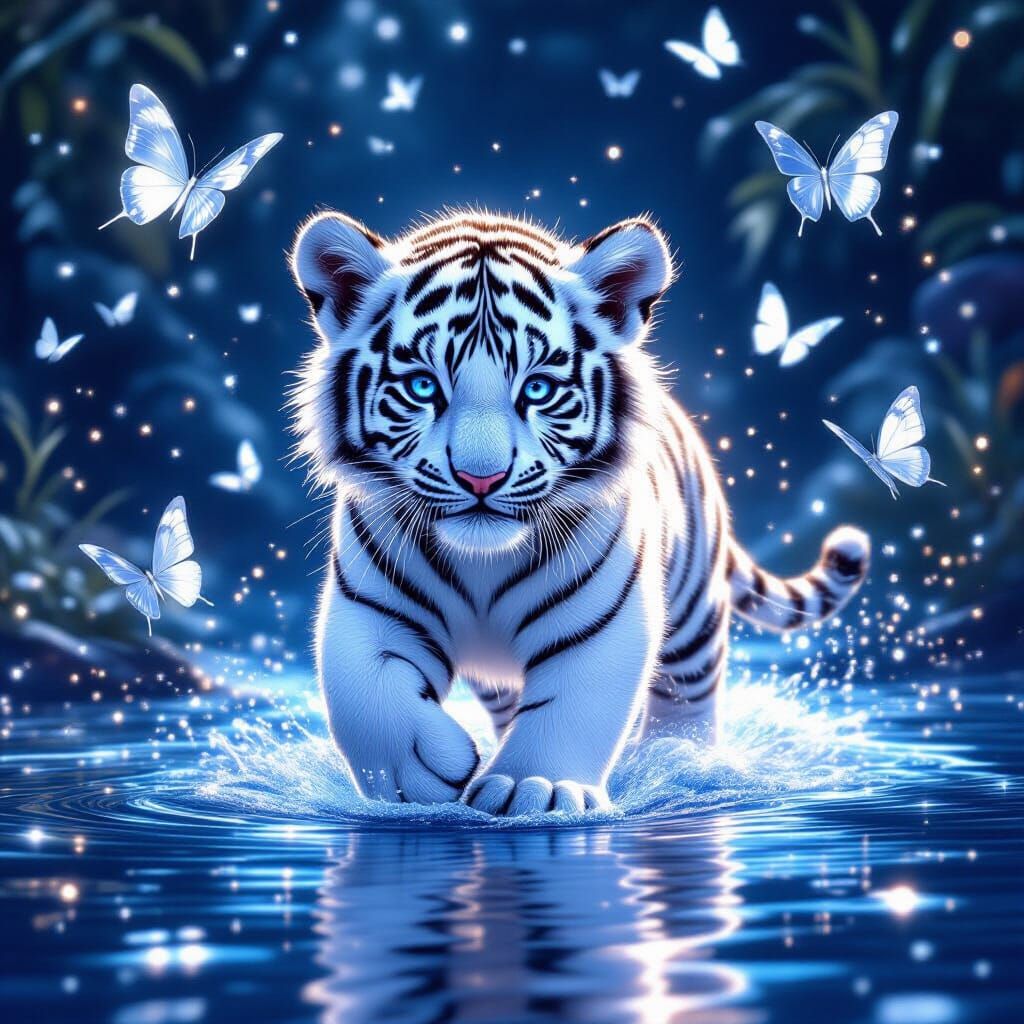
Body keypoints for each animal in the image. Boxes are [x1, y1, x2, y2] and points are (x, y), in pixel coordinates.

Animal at [289, 208, 869, 816]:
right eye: (423, 387)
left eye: (538, 389)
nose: (480, 478)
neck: (483, 562)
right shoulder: (369, 607)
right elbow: (363, 691)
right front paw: (418, 772)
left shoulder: (603, 620)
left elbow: (573, 705)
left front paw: (533, 788)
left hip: (692, 612)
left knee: (689, 694)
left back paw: (675, 760)